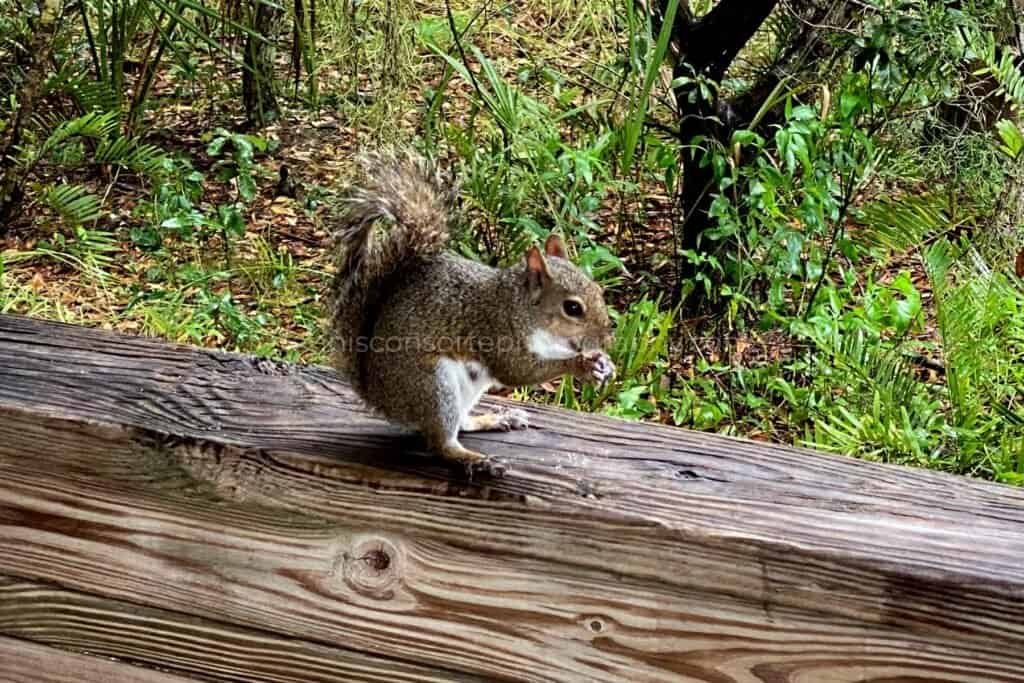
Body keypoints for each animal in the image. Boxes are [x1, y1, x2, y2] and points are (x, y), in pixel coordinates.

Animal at [330, 151, 615, 476]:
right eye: (573, 308)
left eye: (598, 289)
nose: (606, 339)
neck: (518, 306)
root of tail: (378, 395)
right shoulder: (494, 329)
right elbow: (518, 371)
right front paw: (580, 366)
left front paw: (602, 363)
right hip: (431, 386)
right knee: (441, 443)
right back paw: (475, 460)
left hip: (466, 389)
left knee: (461, 424)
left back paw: (494, 419)